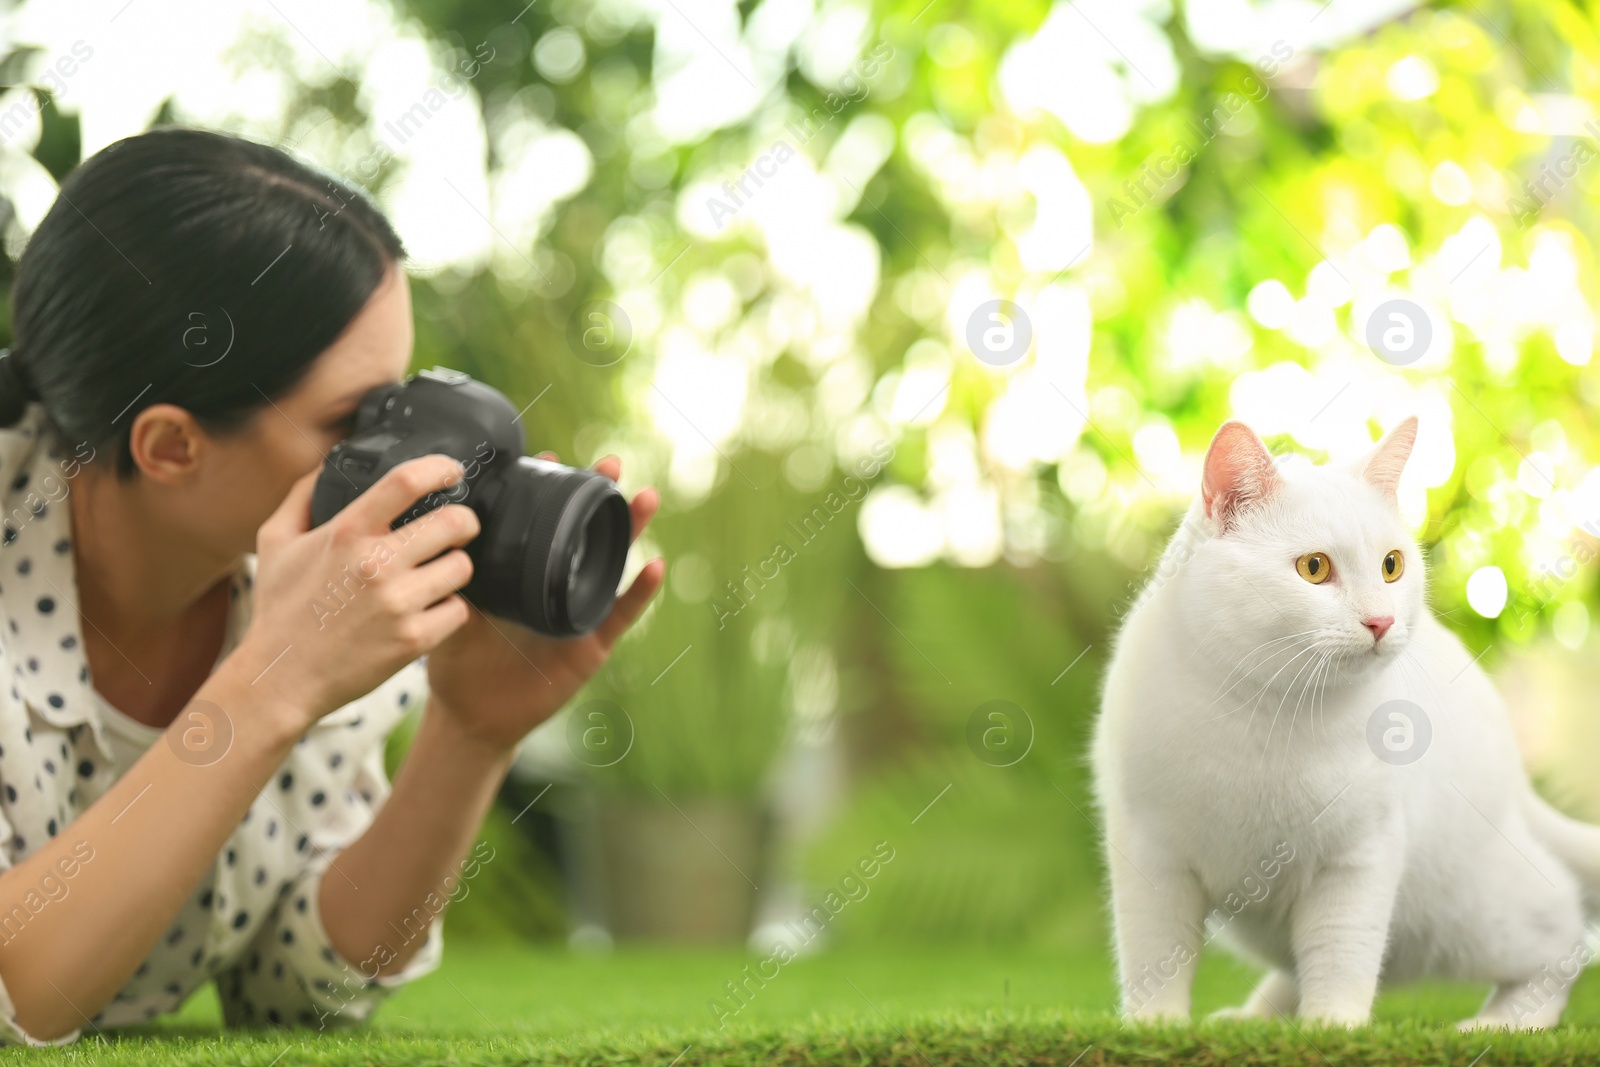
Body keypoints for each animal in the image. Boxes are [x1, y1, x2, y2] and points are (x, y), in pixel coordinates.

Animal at [1094, 415, 1600, 1023]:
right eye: (1314, 568)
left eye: (1392, 566)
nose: (1381, 621)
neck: (1266, 713)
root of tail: (1517, 782)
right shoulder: (1150, 856)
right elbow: (1154, 954)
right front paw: (1154, 1025)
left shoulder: (1359, 857)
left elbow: (1341, 951)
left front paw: (1333, 1026)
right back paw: (1256, 1016)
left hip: (1474, 914)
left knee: (1565, 936)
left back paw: (1504, 1024)